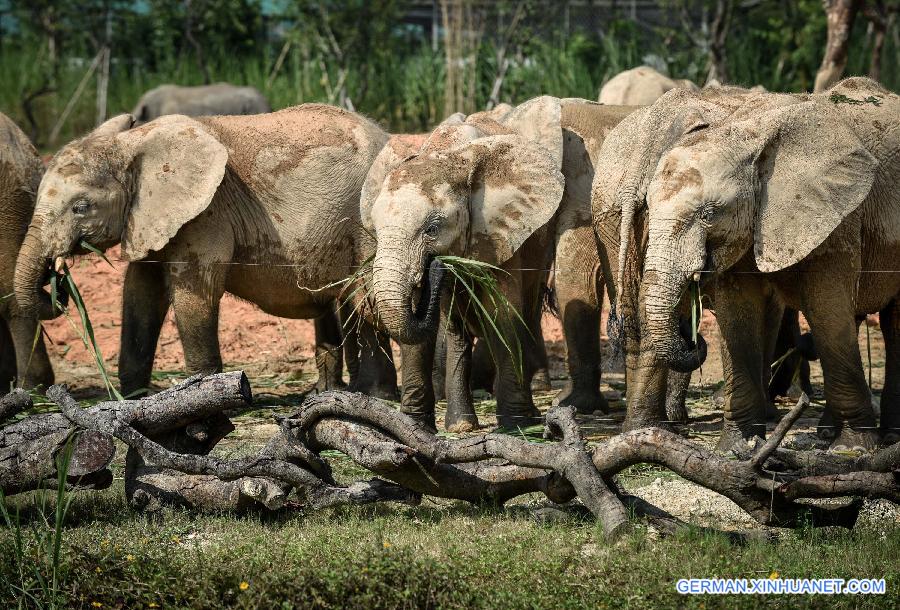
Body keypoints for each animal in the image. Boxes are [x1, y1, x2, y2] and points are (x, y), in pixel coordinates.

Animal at [14, 104, 398, 400]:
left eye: (81, 207)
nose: (57, 282)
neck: (132, 145)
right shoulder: (149, 218)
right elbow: (140, 292)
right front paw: (134, 399)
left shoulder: (207, 214)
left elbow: (195, 293)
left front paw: (208, 397)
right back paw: (331, 394)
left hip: (367, 219)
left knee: (364, 293)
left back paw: (375, 396)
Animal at [640, 77, 900, 446]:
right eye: (647, 208)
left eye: (708, 214)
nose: (692, 337)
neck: (745, 135)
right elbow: (737, 313)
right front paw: (739, 444)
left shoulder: (839, 218)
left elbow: (827, 310)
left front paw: (853, 446)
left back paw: (881, 437)